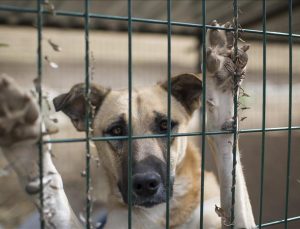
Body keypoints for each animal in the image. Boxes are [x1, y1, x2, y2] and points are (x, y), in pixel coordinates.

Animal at [0, 21, 256, 227]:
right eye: (116, 131)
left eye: (165, 125)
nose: (146, 184)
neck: (158, 216)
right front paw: (28, 152)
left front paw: (221, 88)